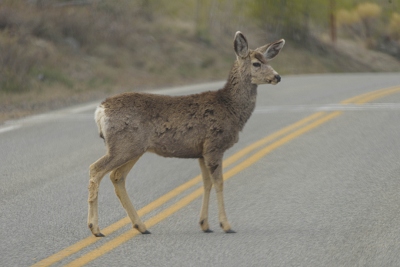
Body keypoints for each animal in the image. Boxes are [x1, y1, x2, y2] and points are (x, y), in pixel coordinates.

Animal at [87, 31, 284, 239]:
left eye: (268, 60)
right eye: (256, 63)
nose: (277, 76)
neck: (231, 108)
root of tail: (100, 110)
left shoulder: (201, 152)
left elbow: (206, 184)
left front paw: (205, 224)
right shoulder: (214, 145)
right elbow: (219, 183)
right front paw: (226, 225)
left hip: (134, 148)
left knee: (117, 176)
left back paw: (141, 226)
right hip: (123, 146)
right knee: (96, 169)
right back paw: (96, 228)